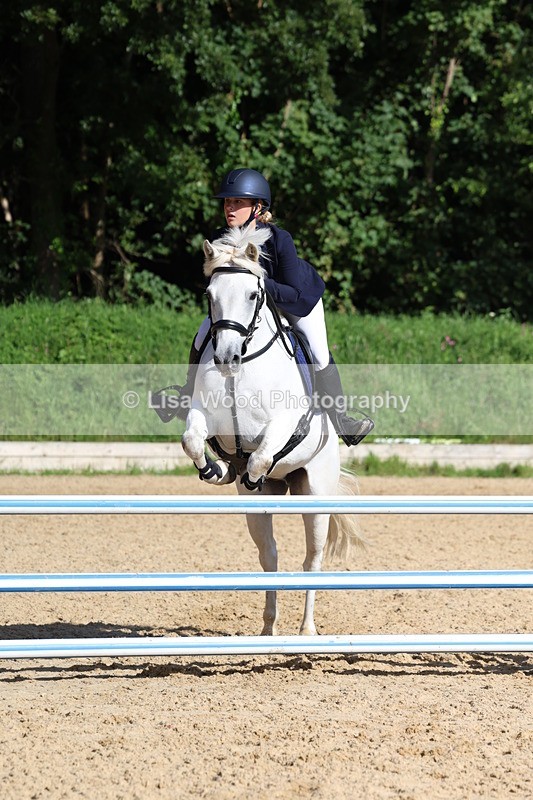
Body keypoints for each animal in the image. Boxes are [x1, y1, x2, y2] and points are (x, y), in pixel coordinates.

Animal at [182, 224, 362, 636]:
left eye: (253, 294)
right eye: (210, 295)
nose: (226, 358)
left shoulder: (284, 421)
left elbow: (262, 454)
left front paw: (250, 471)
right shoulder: (201, 414)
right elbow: (193, 440)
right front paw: (217, 469)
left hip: (316, 491)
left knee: (312, 559)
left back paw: (307, 631)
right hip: (261, 513)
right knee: (270, 555)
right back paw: (268, 630)